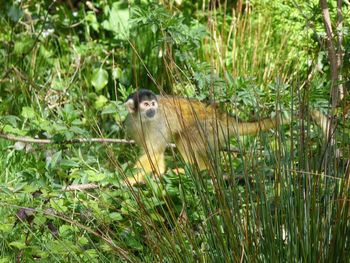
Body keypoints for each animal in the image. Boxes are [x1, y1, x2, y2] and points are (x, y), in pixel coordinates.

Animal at [124, 89, 284, 185]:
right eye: (146, 104)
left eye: (153, 104)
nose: (152, 109)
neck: (144, 119)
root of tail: (222, 116)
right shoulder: (133, 125)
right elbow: (153, 152)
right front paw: (158, 173)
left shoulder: (159, 122)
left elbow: (154, 152)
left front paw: (129, 179)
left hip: (210, 127)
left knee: (186, 136)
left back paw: (196, 169)